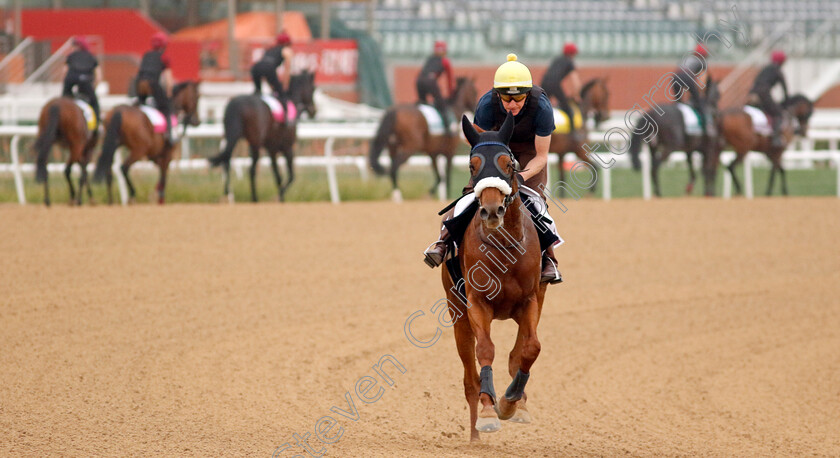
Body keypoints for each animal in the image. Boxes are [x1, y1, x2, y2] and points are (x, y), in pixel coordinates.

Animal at [208, 70, 318, 202]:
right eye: (313, 88)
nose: (313, 111)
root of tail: (235, 104)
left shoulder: (272, 150)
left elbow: (278, 177)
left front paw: (280, 196)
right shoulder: (287, 148)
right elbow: (291, 176)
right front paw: (280, 196)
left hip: (232, 136)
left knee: (226, 160)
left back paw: (227, 192)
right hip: (255, 143)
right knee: (251, 170)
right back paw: (254, 198)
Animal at [442, 112, 548, 442]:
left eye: (508, 163)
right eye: (472, 165)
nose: (491, 210)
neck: (504, 245)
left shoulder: (530, 300)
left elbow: (530, 348)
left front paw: (511, 401)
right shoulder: (477, 303)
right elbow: (485, 350)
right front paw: (490, 413)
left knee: (518, 351)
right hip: (456, 311)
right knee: (469, 376)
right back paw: (476, 435)